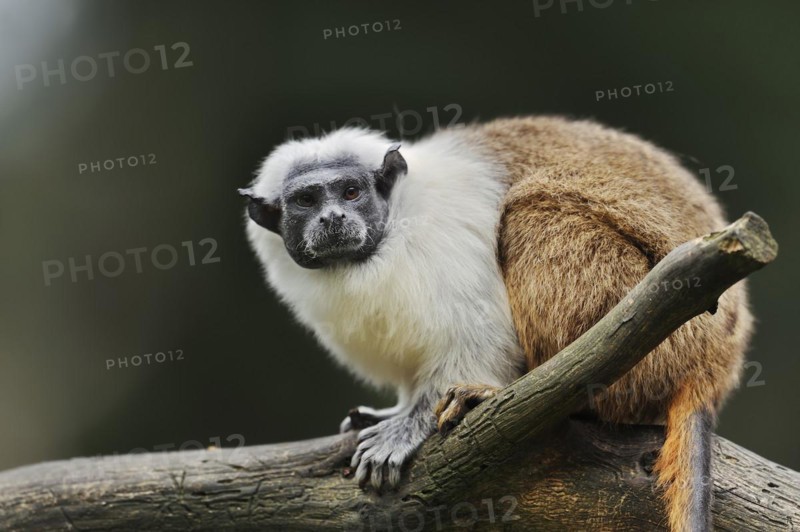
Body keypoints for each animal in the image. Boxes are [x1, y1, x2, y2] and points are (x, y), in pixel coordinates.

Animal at [239, 116, 751, 532]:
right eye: (306, 200)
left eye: (350, 192)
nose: (332, 217)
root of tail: (714, 364)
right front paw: (395, 411)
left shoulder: (443, 242)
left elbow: (479, 338)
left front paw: (410, 426)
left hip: (667, 337)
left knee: (531, 206)